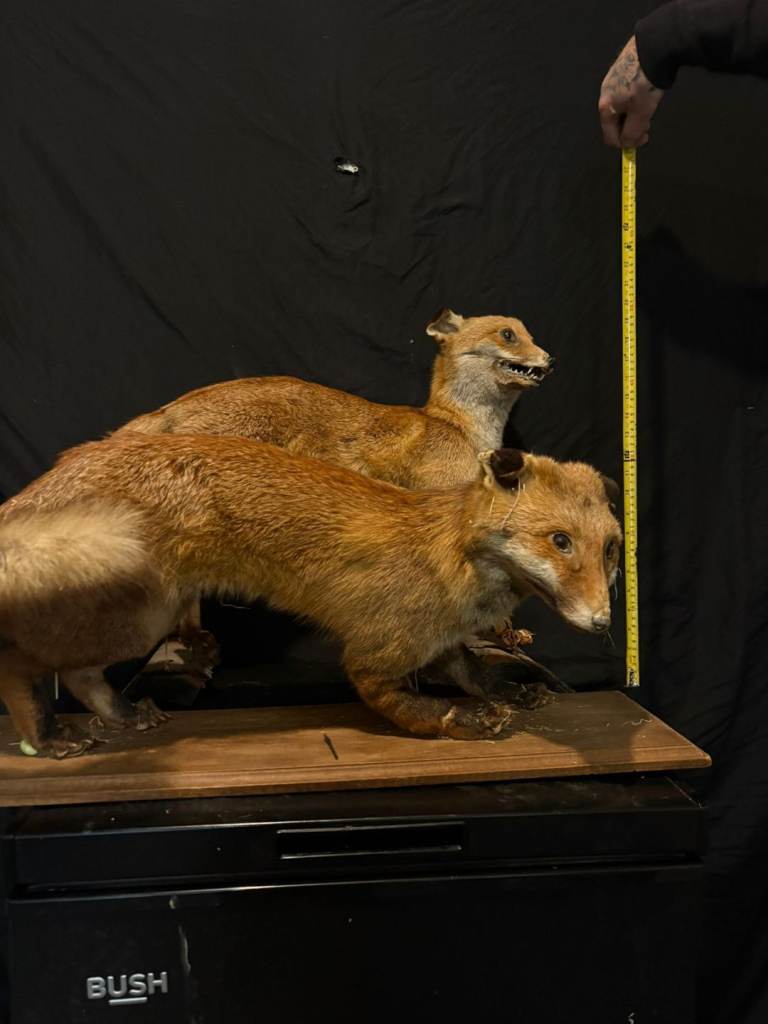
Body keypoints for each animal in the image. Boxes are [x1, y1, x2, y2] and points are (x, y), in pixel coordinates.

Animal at [0, 433, 621, 758]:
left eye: (612, 548)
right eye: (560, 540)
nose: (602, 622)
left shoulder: (439, 639)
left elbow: (476, 672)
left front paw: (515, 693)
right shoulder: (375, 651)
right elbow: (401, 700)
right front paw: (460, 720)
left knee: (80, 676)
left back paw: (126, 717)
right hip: (141, 618)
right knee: (28, 666)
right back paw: (46, 739)